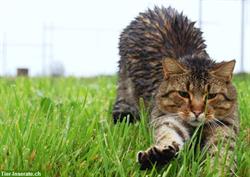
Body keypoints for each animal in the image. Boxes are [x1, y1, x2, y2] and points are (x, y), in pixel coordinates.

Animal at [112, 6, 239, 175]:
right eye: (183, 94)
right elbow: (168, 132)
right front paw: (158, 156)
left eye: (211, 96)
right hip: (126, 83)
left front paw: (217, 171)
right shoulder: (167, 116)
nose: (197, 112)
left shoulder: (224, 125)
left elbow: (222, 153)